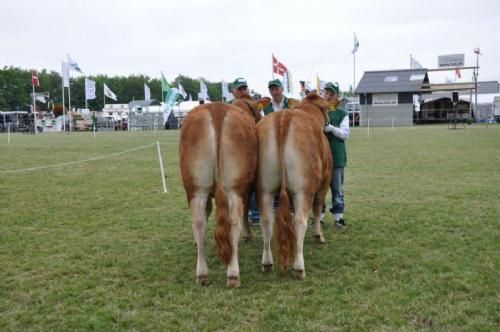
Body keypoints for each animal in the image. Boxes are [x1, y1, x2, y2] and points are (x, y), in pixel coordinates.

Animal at [180, 94, 270, 286]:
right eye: (258, 111)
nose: (260, 119)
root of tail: (217, 111)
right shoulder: (247, 188)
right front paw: (248, 236)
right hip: (236, 187)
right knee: (234, 221)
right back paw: (233, 274)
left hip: (196, 187)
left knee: (199, 221)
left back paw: (202, 274)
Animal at [258, 94, 332, 278]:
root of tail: (283, 118)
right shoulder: (323, 184)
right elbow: (318, 209)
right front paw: (319, 235)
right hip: (303, 190)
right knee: (300, 221)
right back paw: (299, 267)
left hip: (264, 189)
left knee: (266, 220)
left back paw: (267, 263)